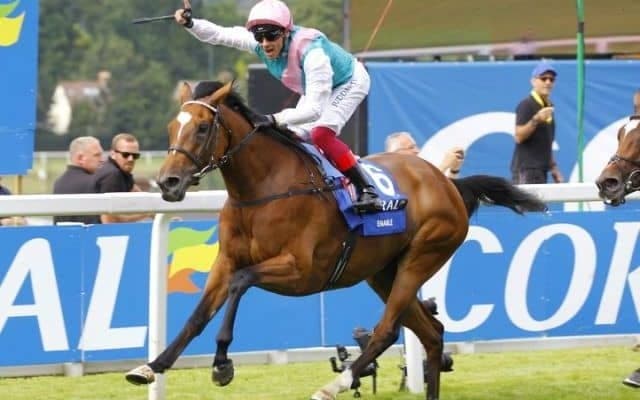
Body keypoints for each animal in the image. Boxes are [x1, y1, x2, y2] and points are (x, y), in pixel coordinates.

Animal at [125, 80, 546, 400]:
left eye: (201, 128)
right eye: (171, 127)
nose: (168, 182)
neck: (262, 191)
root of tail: (447, 182)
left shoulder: (302, 272)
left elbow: (240, 283)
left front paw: (222, 363)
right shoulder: (226, 260)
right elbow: (198, 314)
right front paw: (151, 366)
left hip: (422, 256)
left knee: (387, 329)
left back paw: (336, 383)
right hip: (383, 272)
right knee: (432, 333)